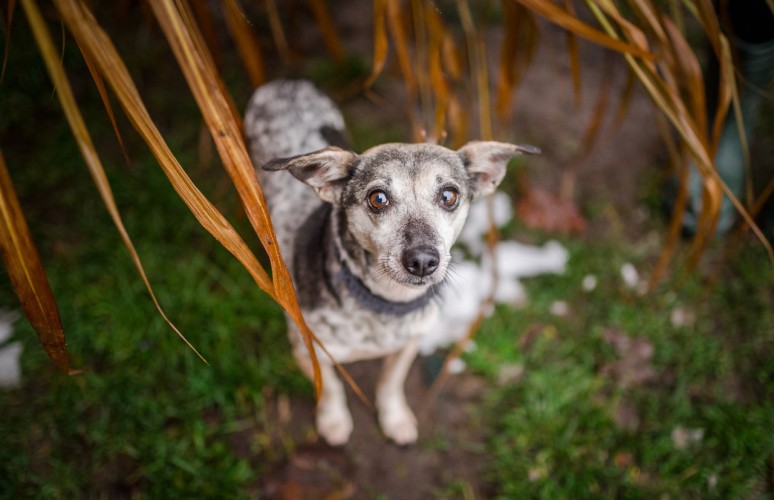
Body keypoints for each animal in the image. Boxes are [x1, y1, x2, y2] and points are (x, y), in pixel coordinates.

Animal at [247, 81, 540, 446]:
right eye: (378, 198)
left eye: (449, 196)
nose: (423, 261)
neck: (386, 303)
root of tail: (285, 83)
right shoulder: (308, 350)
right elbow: (330, 388)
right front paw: (333, 422)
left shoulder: (409, 344)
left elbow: (390, 383)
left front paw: (395, 419)